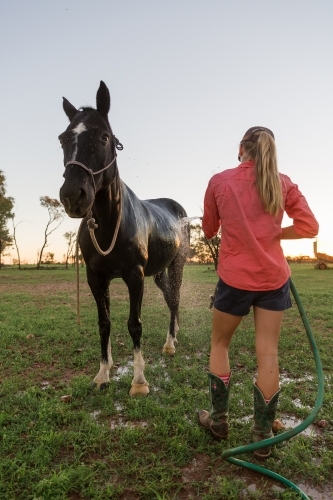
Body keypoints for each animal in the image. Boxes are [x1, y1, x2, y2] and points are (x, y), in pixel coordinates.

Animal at [58, 81, 188, 394]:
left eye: (104, 136)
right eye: (63, 139)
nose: (72, 195)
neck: (109, 224)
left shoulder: (134, 276)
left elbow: (134, 324)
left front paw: (139, 381)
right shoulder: (96, 278)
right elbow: (104, 323)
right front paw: (103, 374)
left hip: (176, 265)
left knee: (175, 299)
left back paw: (170, 343)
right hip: (159, 272)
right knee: (170, 298)